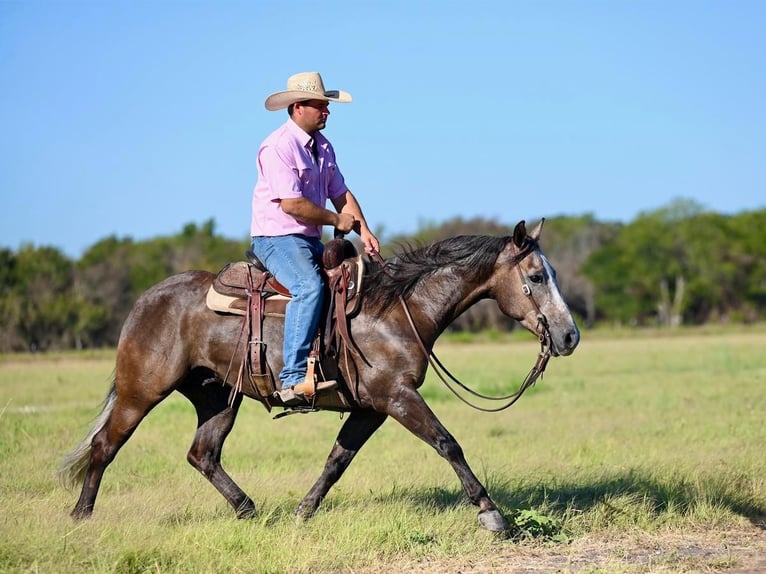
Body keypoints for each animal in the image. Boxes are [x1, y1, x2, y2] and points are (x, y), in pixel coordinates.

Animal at [60, 218, 580, 532]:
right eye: (536, 277)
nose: (569, 335)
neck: (398, 308)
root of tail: (147, 299)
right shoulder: (397, 397)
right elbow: (447, 443)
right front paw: (492, 515)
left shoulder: (372, 408)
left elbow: (336, 460)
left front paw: (303, 511)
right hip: (141, 391)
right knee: (105, 446)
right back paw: (81, 517)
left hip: (218, 397)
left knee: (202, 454)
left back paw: (248, 510)